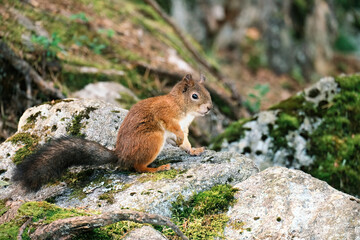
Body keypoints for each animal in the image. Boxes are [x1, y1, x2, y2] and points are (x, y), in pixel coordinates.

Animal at [12, 74, 212, 190]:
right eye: (195, 96)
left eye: (208, 93)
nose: (209, 108)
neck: (182, 106)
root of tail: (121, 156)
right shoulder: (165, 114)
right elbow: (173, 127)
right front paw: (179, 139)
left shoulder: (185, 126)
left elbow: (186, 141)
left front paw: (193, 150)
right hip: (153, 139)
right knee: (138, 167)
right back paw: (156, 168)